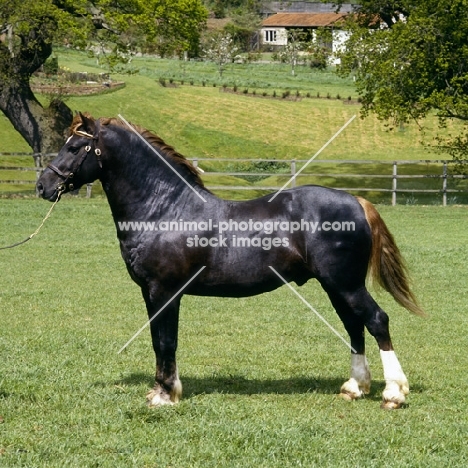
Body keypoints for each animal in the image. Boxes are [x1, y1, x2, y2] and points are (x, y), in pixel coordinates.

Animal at [36, 113, 424, 410]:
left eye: (74, 147)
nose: (43, 185)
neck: (164, 209)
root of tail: (357, 201)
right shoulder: (150, 293)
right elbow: (159, 340)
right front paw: (162, 389)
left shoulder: (164, 292)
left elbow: (165, 341)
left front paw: (165, 395)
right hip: (336, 286)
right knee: (354, 326)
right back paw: (354, 388)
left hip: (345, 284)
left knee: (376, 321)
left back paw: (394, 393)